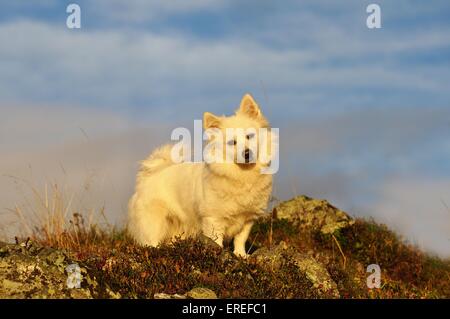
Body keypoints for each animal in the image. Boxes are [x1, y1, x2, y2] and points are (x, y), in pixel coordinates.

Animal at [126, 94, 274, 258]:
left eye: (250, 136)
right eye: (232, 143)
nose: (247, 153)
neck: (242, 175)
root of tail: (149, 176)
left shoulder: (247, 219)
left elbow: (240, 239)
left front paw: (241, 255)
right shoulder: (213, 220)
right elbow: (216, 241)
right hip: (154, 223)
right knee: (151, 241)